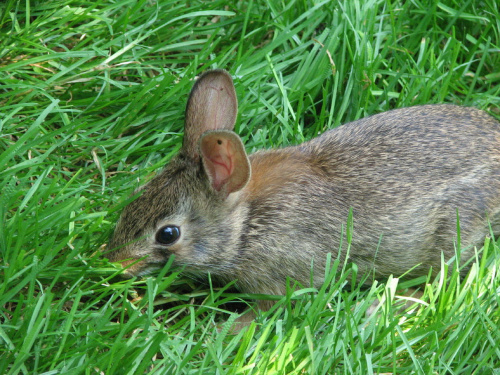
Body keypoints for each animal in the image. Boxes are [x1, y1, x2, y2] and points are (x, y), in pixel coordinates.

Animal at [108, 67, 500, 320]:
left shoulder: (287, 278)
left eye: (168, 234)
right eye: (137, 195)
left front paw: (222, 334)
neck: (246, 223)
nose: (115, 264)